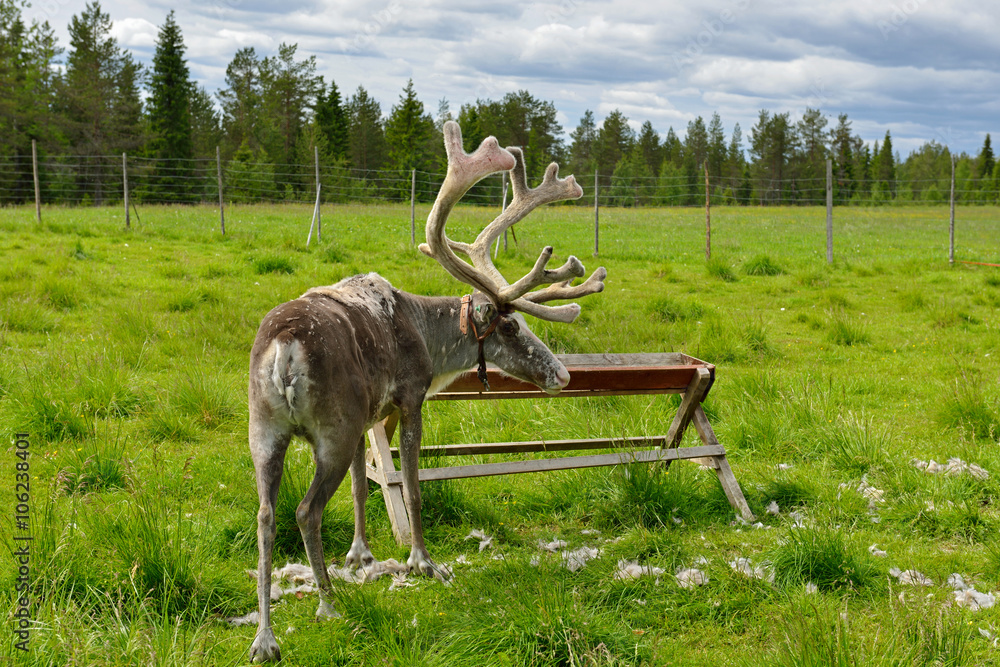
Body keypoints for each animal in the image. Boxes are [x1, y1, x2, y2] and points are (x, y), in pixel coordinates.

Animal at [247, 121, 606, 662]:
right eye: (510, 327)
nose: (561, 375)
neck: (425, 336)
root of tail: (284, 350)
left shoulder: (367, 415)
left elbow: (363, 485)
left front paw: (360, 554)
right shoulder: (409, 398)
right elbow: (411, 487)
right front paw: (422, 560)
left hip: (265, 429)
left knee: (267, 515)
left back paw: (265, 637)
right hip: (330, 429)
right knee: (306, 511)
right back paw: (327, 602)